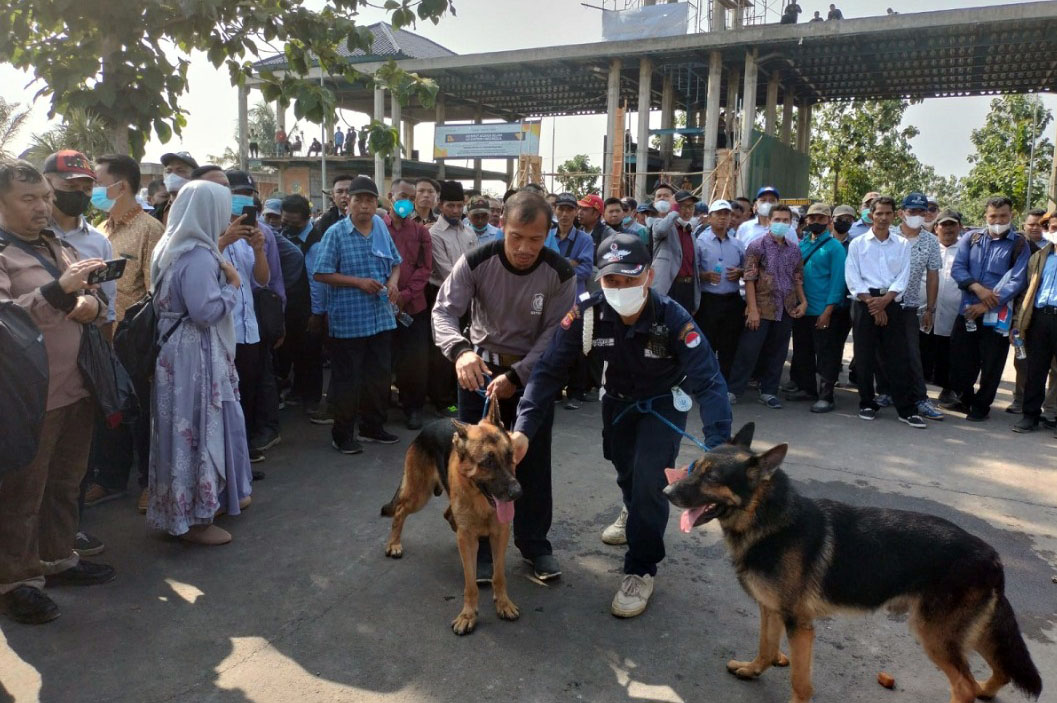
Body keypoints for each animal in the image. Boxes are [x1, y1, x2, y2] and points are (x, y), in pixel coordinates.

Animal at [384, 399, 524, 634]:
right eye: (487, 462)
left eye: (509, 456)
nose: (517, 493)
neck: (480, 501)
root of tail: (426, 429)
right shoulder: (467, 540)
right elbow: (470, 584)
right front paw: (468, 615)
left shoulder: (500, 534)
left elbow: (499, 575)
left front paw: (503, 603)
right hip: (419, 494)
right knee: (401, 510)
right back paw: (394, 544)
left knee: (447, 514)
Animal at [659, 422, 1040, 701]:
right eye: (694, 467)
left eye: (711, 477)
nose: (665, 493)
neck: (769, 520)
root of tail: (992, 555)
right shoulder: (771, 610)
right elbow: (766, 648)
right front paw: (753, 670)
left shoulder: (799, 625)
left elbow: (800, 681)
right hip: (966, 631)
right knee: (998, 671)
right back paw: (986, 690)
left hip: (934, 634)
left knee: (964, 686)